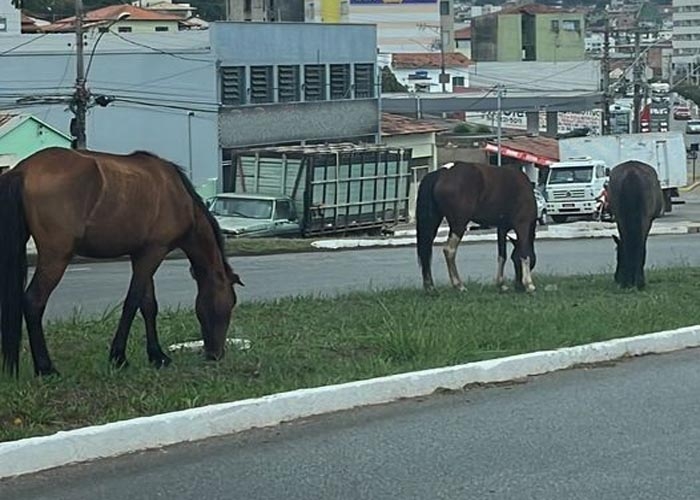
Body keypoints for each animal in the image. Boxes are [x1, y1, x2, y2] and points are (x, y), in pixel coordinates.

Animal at [0, 146, 245, 376]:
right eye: (229, 303)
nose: (215, 354)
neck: (178, 196)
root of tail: (24, 169)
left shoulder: (141, 254)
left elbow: (148, 305)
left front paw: (157, 355)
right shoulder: (154, 252)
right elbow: (132, 303)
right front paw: (119, 357)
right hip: (56, 257)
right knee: (33, 302)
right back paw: (46, 368)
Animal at [418, 160, 540, 292]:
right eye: (515, 260)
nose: (518, 285)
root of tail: (442, 172)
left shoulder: (501, 229)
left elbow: (502, 255)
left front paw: (501, 284)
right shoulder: (522, 225)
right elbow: (525, 254)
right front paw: (529, 284)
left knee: (426, 249)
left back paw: (430, 287)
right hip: (459, 224)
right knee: (449, 250)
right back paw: (459, 285)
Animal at [608, 160, 664, 292]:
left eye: (617, 252)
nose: (616, 278)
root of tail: (631, 173)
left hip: (621, 218)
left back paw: (629, 282)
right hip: (644, 219)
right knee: (639, 246)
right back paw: (637, 282)